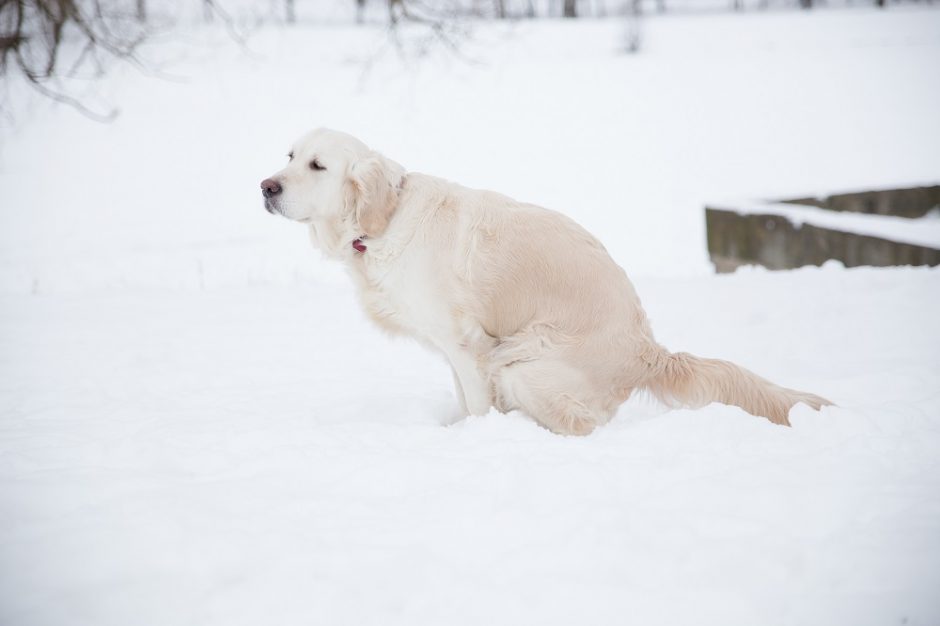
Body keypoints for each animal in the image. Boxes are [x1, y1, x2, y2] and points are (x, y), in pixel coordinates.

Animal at [260, 128, 828, 434]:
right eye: (288, 156)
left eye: (318, 165)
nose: (265, 186)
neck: (384, 221)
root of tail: (648, 349)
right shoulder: (451, 348)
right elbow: (464, 400)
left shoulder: (468, 344)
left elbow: (477, 403)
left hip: (525, 363)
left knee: (582, 424)